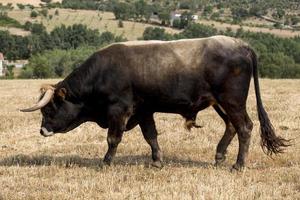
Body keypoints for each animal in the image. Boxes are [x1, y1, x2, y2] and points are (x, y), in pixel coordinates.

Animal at [21, 36, 288, 170]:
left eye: (50, 108)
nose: (42, 130)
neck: (104, 72)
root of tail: (240, 44)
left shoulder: (119, 110)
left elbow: (113, 138)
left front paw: (106, 162)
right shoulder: (144, 110)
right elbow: (151, 136)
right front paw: (157, 160)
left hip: (232, 101)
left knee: (244, 127)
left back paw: (238, 165)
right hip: (220, 103)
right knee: (231, 126)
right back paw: (220, 156)